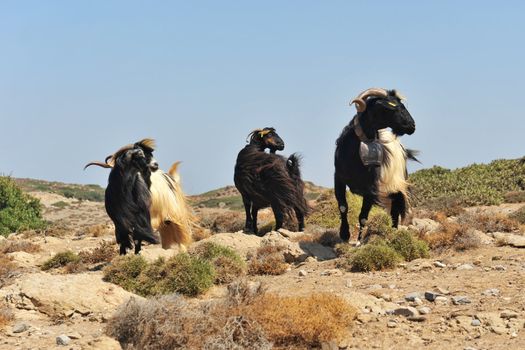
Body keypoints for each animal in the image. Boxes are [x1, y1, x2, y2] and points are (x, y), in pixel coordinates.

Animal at [334, 87, 416, 243]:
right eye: (391, 106)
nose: (412, 126)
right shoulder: (338, 178)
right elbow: (343, 207)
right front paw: (344, 234)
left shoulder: (370, 189)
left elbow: (363, 217)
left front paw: (359, 241)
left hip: (395, 187)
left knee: (395, 211)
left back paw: (393, 233)